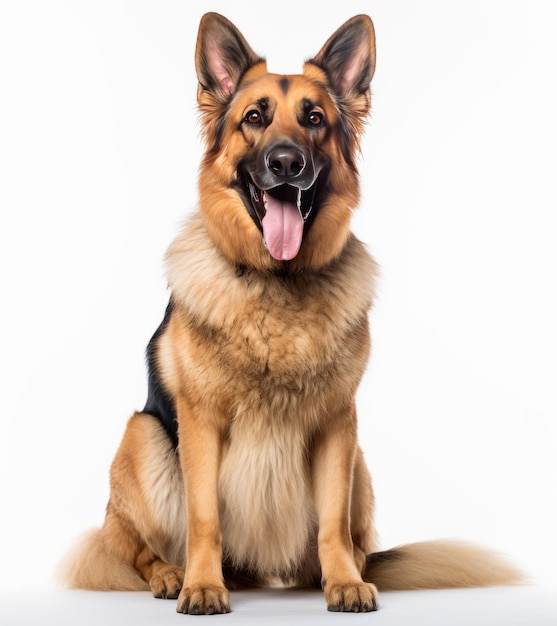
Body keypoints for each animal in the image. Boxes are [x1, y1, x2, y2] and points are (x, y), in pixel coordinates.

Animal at [59, 12, 520, 612]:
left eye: (315, 119)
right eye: (254, 118)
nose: (285, 163)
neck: (277, 288)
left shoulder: (338, 424)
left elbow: (333, 523)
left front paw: (343, 580)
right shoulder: (199, 424)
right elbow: (204, 518)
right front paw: (202, 585)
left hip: (360, 463)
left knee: (354, 538)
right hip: (144, 437)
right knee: (133, 546)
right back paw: (171, 574)